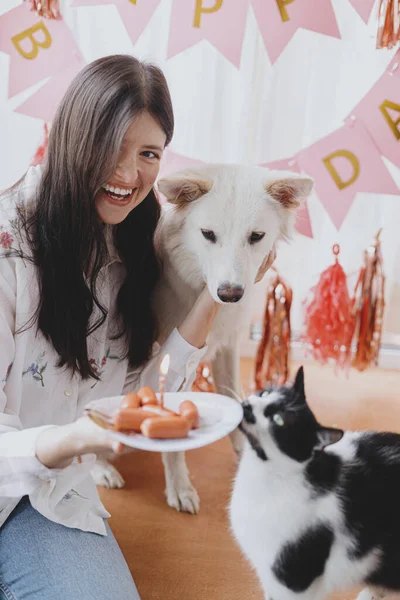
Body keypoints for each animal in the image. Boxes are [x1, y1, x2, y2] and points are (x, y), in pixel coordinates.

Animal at [92, 163, 314, 510]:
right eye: (208, 235)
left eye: (256, 237)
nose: (230, 294)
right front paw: (179, 486)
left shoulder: (228, 346)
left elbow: (232, 393)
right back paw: (101, 468)